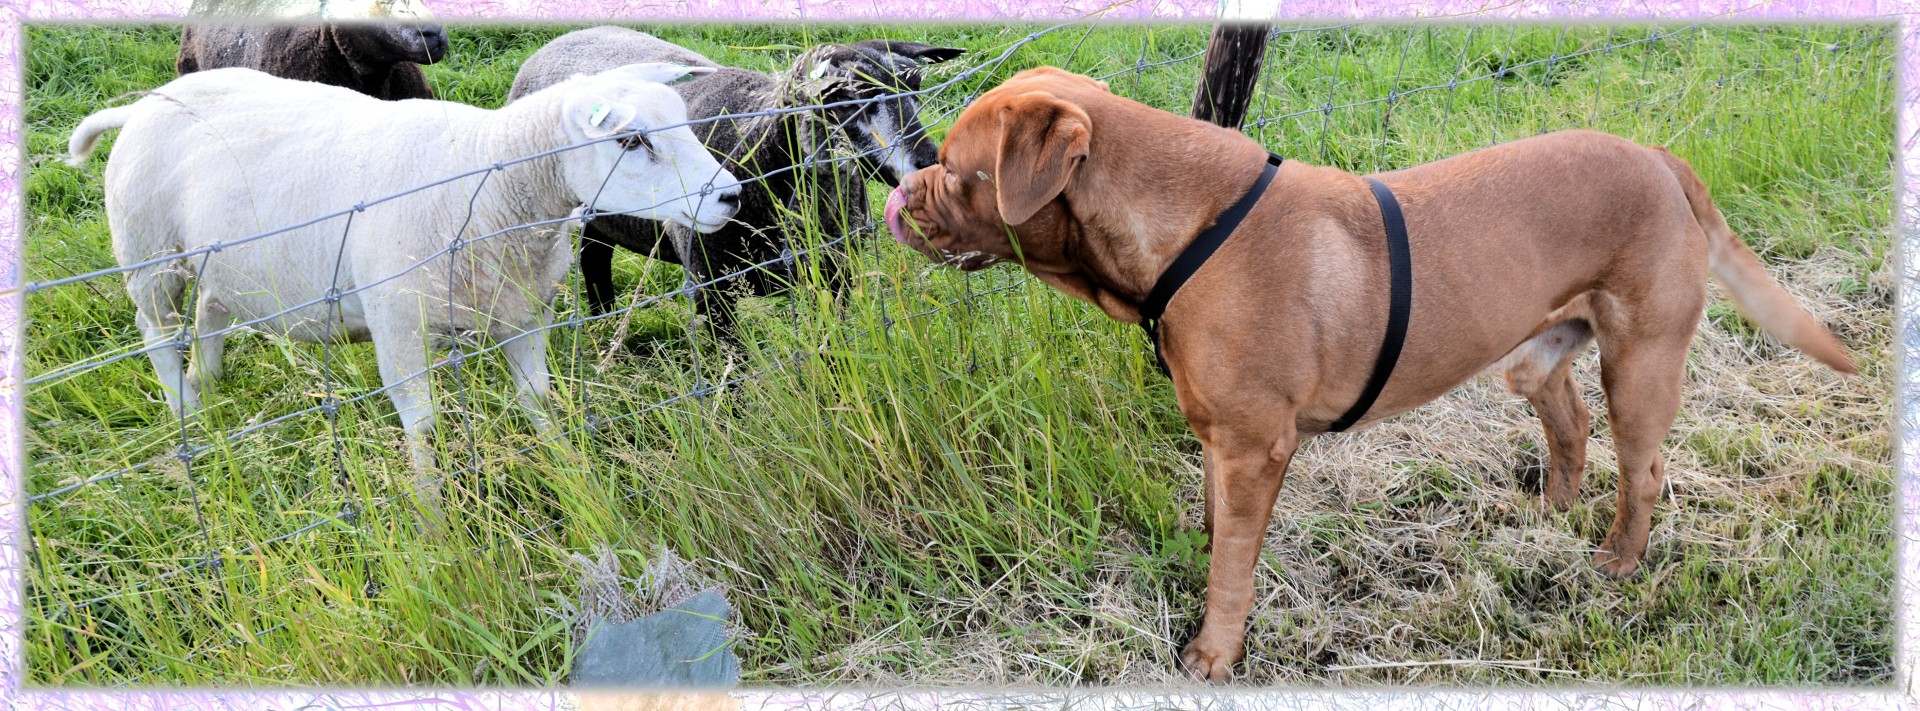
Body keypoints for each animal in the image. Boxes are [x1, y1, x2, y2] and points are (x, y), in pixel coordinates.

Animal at [65, 62, 741, 488]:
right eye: (630, 141)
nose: (731, 196)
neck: (488, 182)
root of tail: (145, 102)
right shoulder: (397, 326)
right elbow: (423, 428)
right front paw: (433, 515)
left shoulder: (524, 313)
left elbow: (538, 399)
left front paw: (568, 468)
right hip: (150, 253)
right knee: (156, 330)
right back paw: (187, 408)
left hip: (223, 258)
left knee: (210, 310)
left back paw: (211, 385)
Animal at [506, 27, 960, 338]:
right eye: (839, 100)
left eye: (915, 85)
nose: (927, 165)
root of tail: (560, 39)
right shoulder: (711, 288)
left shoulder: (835, 276)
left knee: (596, 255)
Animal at [879, 68, 1843, 684]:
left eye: (958, 171)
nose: (898, 194)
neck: (1182, 227)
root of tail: (1660, 159)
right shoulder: (1219, 438)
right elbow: (1215, 526)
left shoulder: (1254, 447)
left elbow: (1232, 565)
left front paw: (1213, 655)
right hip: (1534, 357)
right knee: (1566, 424)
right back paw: (1548, 515)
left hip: (1639, 364)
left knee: (1643, 470)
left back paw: (1616, 560)